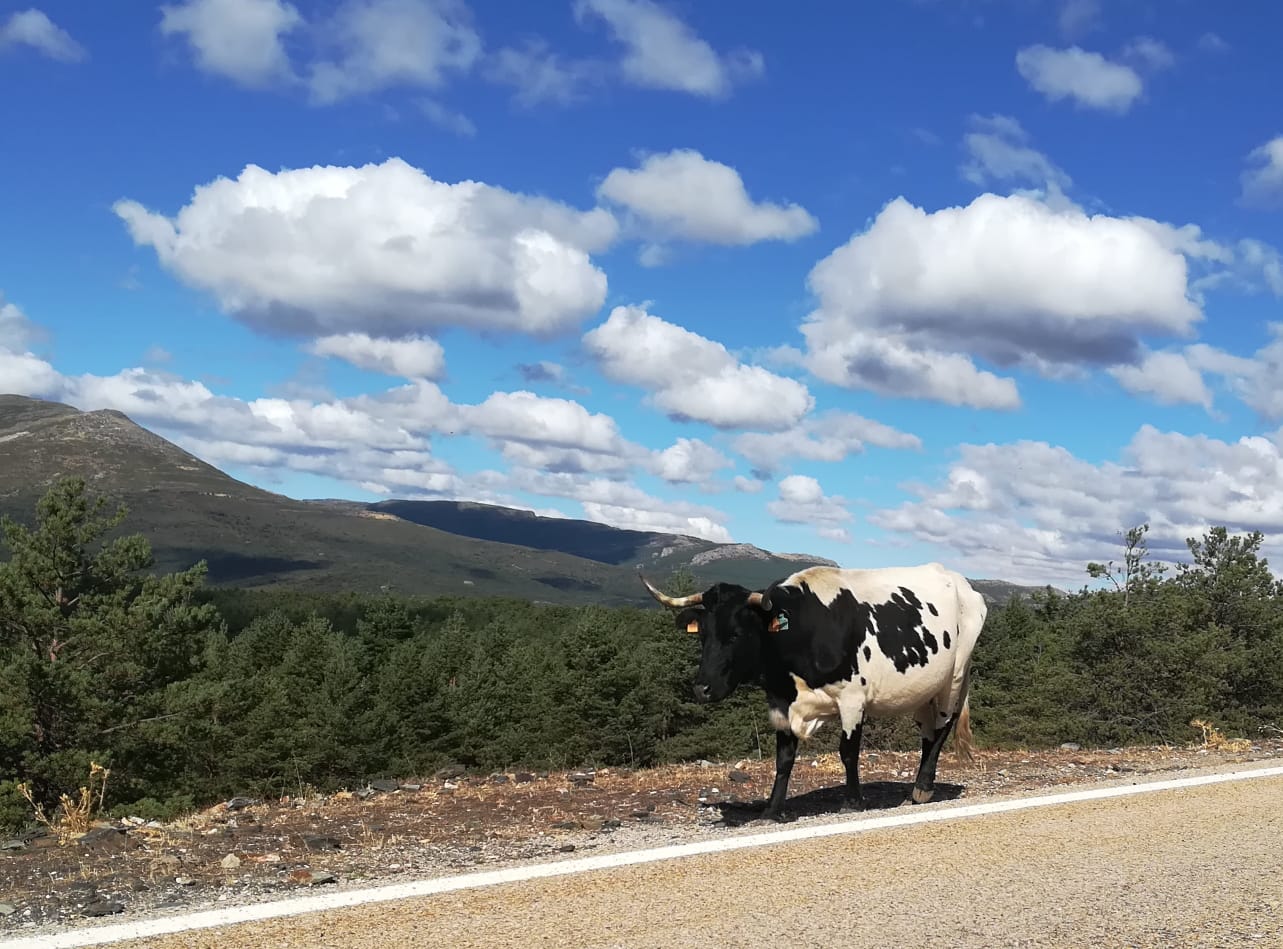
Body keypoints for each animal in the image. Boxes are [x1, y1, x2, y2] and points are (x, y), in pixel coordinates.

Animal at [640, 562, 987, 822]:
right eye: (703, 635)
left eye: (736, 634)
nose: (702, 688)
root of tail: (959, 581)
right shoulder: (781, 703)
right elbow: (784, 759)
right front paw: (772, 810)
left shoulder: (852, 699)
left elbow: (848, 752)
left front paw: (852, 801)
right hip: (925, 688)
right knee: (928, 732)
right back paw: (915, 790)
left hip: (955, 676)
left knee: (943, 727)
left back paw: (923, 788)